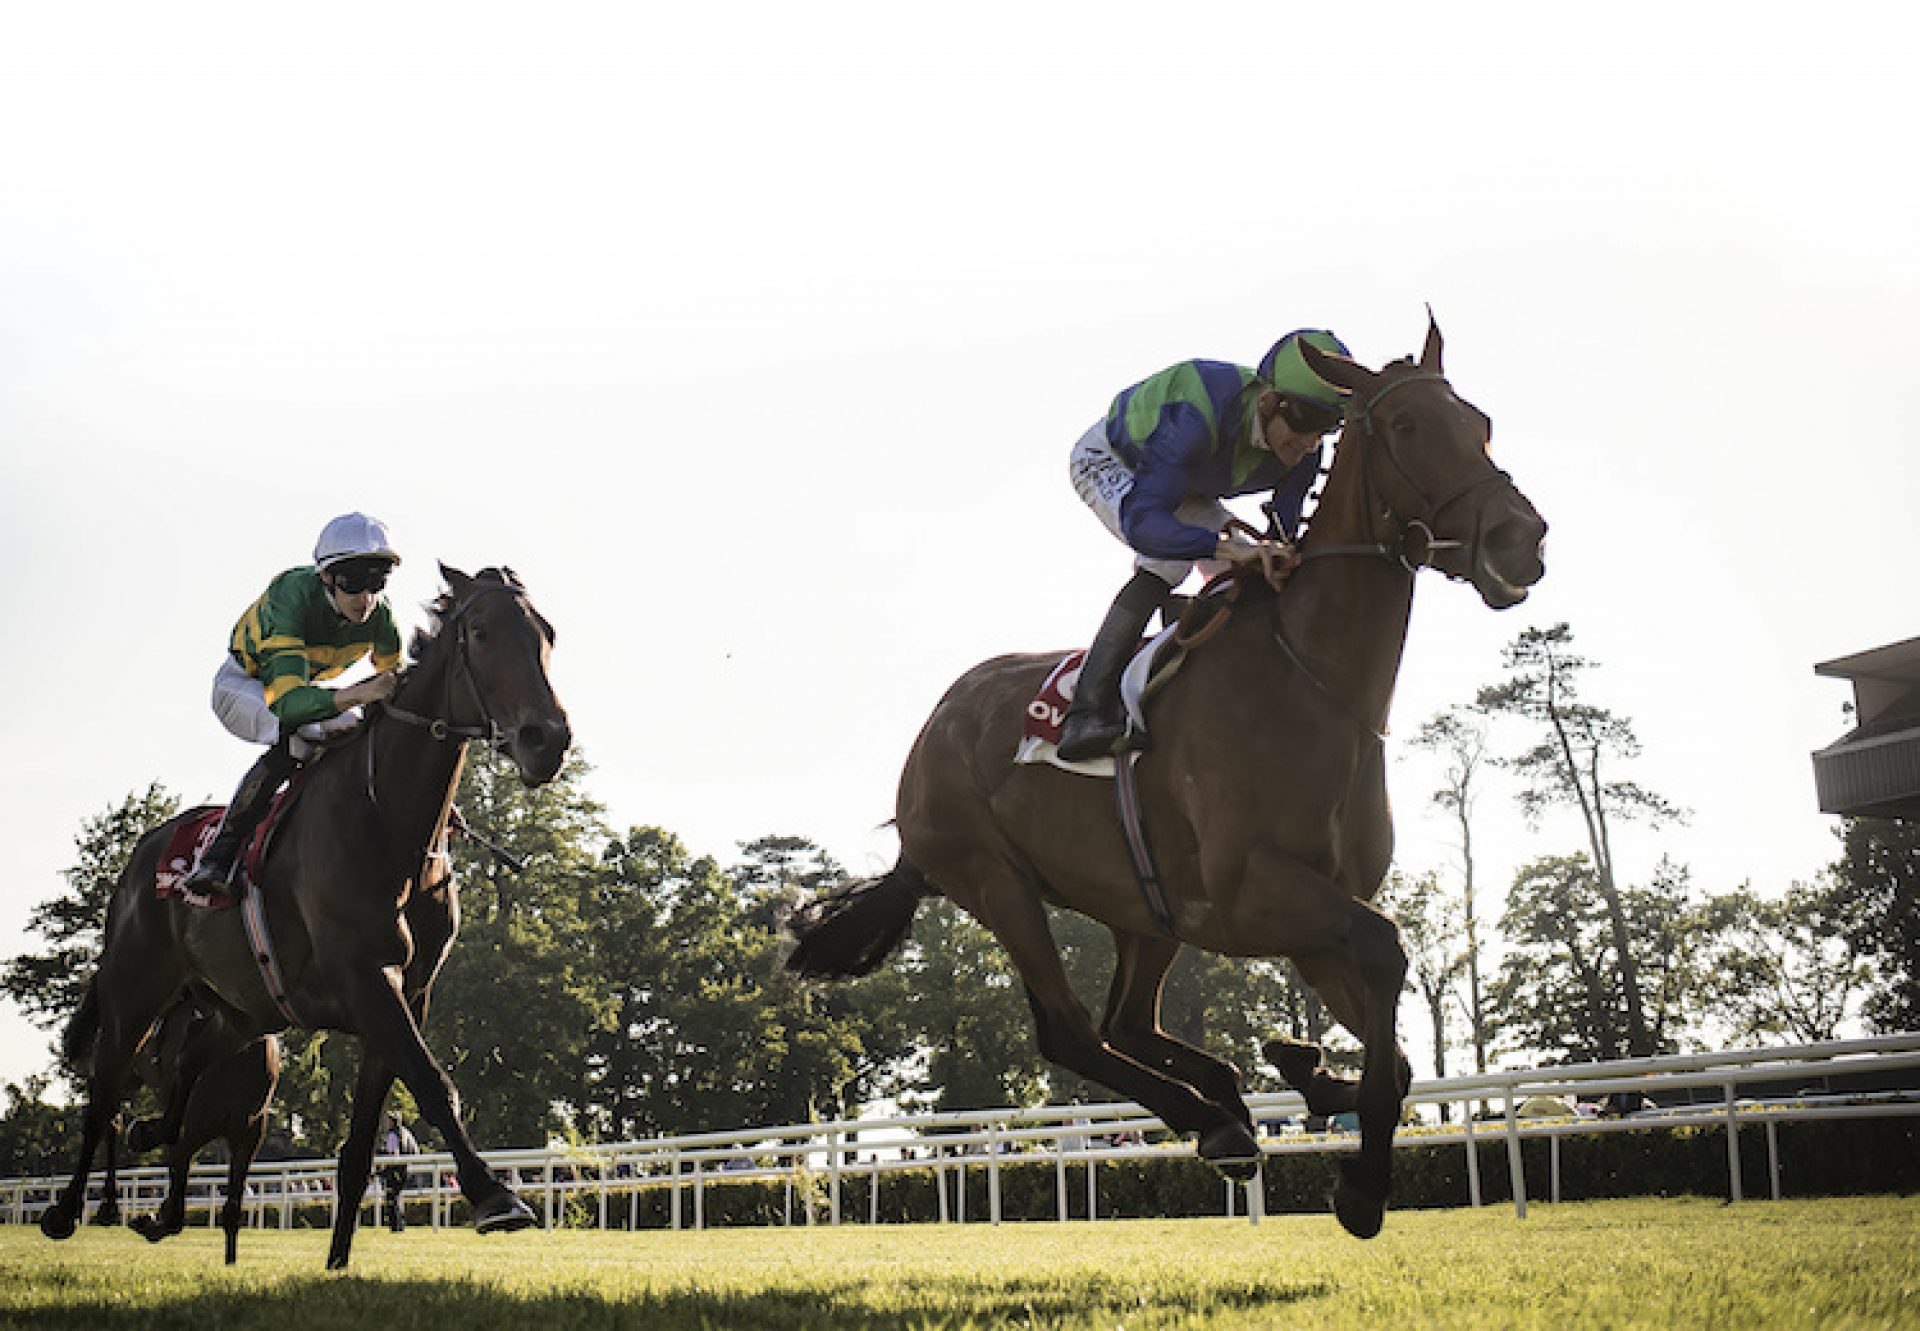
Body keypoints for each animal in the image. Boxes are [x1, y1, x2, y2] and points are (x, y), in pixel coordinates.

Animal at [43, 564, 568, 1267]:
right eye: (481, 632)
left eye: (548, 633)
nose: (548, 740)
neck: (391, 827)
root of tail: (144, 851)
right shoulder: (365, 977)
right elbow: (432, 1082)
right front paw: (494, 1196)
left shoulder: (408, 991)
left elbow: (362, 1145)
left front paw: (339, 1265)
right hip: (135, 988)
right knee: (103, 1091)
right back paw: (69, 1207)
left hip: (246, 1010)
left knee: (189, 1064)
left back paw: (157, 1142)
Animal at [787, 322, 1551, 1236]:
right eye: (1405, 429)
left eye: (1480, 422)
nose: (1521, 537)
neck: (1310, 681)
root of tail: (931, 731)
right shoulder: (1247, 895)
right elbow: (1386, 947)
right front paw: (1361, 1178)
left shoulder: (1310, 910)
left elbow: (1390, 1038)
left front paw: (1310, 1071)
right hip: (995, 879)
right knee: (1074, 1032)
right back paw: (1214, 1119)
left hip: (1141, 908)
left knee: (1126, 1021)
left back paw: (1231, 1093)